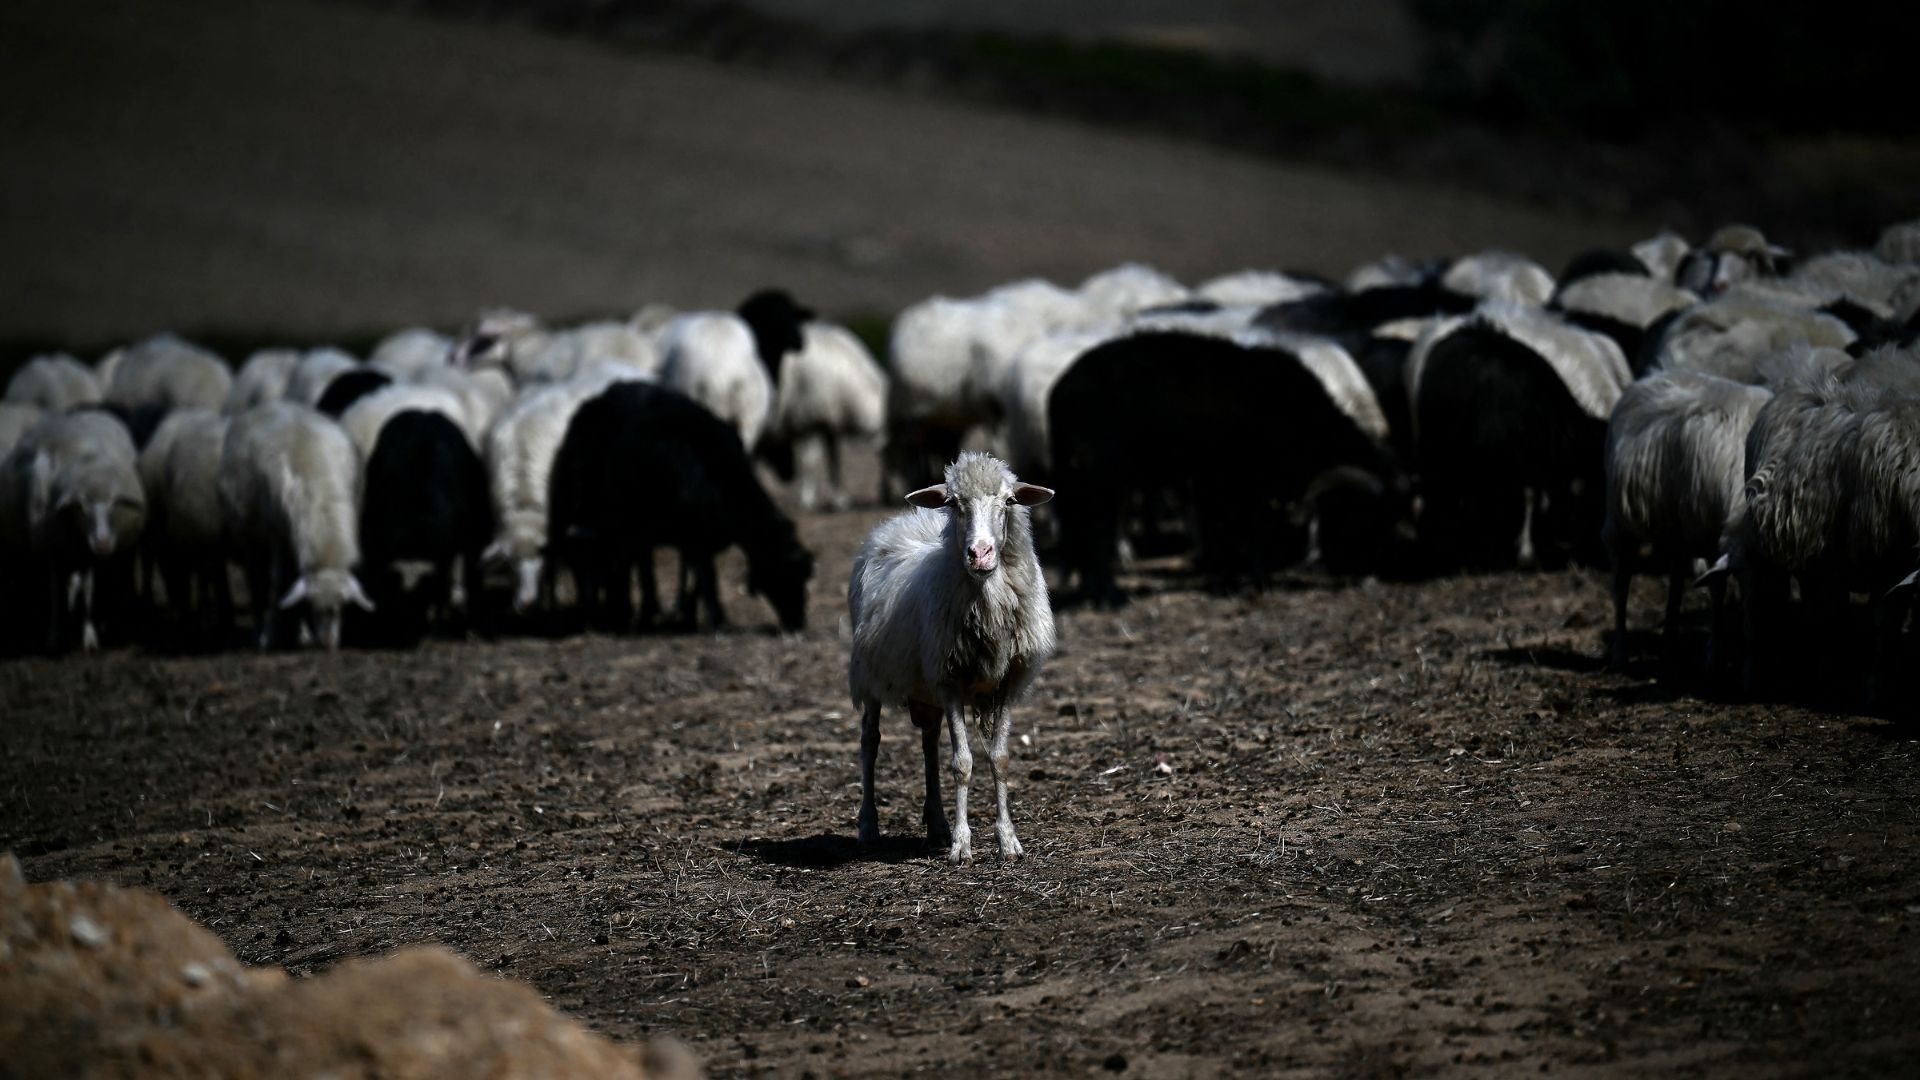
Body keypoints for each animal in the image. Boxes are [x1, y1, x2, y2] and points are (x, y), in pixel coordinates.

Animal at [217, 397, 370, 641]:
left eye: (342, 607)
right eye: (313, 605)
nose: (328, 644)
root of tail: (274, 404)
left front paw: (301, 633)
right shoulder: (276, 534)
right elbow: (277, 582)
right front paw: (270, 635)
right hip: (246, 533)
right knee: (254, 576)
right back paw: (260, 629)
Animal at [545, 378, 814, 630]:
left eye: (803, 577)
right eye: (783, 573)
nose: (798, 622)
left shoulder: (701, 539)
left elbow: (695, 581)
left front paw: (689, 616)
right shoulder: (695, 538)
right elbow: (707, 579)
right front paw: (717, 621)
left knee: (634, 563)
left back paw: (638, 612)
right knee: (612, 560)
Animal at [848, 449, 1059, 860]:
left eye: (1009, 501)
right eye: (954, 504)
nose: (980, 554)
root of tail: (903, 521)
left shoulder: (1007, 682)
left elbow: (999, 759)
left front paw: (1007, 840)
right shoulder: (949, 680)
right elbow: (962, 763)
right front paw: (963, 845)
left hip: (923, 687)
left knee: (929, 744)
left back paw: (937, 824)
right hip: (870, 676)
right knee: (870, 740)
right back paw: (869, 826)